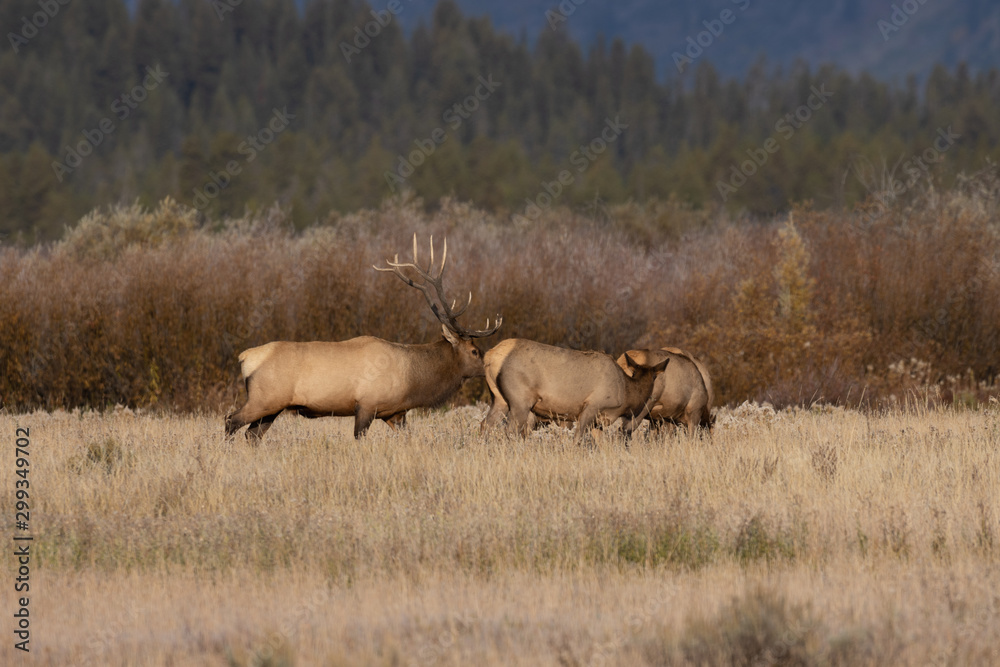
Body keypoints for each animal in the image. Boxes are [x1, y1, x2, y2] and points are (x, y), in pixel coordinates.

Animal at [224, 235, 501, 441]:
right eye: (475, 351)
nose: (489, 365)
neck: (413, 381)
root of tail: (245, 357)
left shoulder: (395, 413)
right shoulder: (367, 404)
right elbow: (359, 438)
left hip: (272, 407)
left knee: (252, 435)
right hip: (264, 398)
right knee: (230, 421)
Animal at [479, 339, 670, 445]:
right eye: (655, 377)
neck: (625, 394)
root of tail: (491, 356)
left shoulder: (598, 421)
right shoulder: (592, 405)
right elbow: (577, 438)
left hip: (499, 399)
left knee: (485, 425)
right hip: (520, 399)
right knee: (510, 430)